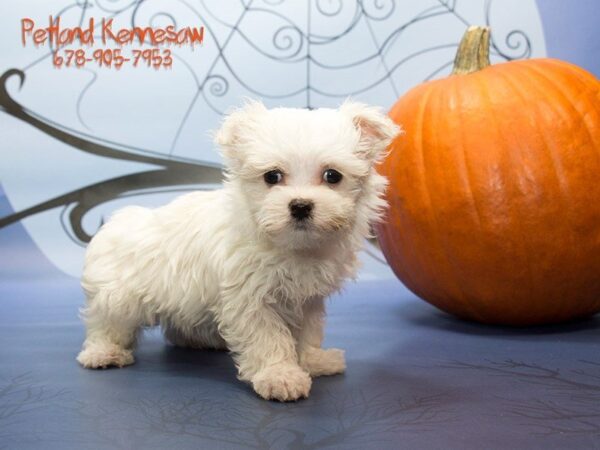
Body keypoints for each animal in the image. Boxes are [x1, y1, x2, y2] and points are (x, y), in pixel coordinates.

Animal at [77, 100, 400, 402]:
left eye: (332, 175)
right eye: (272, 176)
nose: (300, 205)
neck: (292, 245)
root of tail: (116, 222)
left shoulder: (307, 299)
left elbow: (307, 332)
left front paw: (313, 361)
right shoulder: (249, 298)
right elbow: (268, 338)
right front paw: (280, 376)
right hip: (118, 297)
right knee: (106, 324)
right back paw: (103, 353)